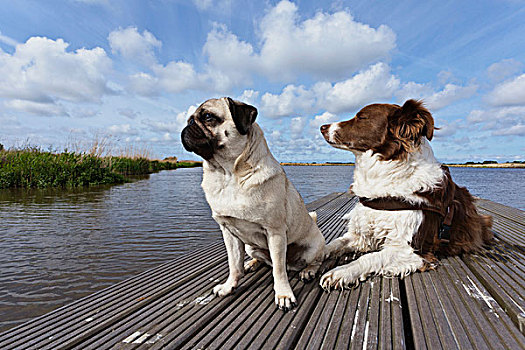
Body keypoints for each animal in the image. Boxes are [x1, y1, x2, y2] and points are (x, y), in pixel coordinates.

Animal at [182, 97, 326, 310]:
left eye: (208, 117)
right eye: (190, 119)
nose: (187, 126)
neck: (228, 174)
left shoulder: (275, 233)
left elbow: (279, 271)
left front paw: (283, 295)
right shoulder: (229, 233)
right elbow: (234, 264)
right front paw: (229, 286)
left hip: (314, 246)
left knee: (310, 261)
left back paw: (308, 271)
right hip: (250, 246)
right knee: (263, 260)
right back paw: (251, 264)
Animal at [318, 99, 494, 290]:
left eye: (362, 117)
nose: (322, 127)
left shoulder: (413, 251)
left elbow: (369, 257)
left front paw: (341, 271)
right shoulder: (362, 235)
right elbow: (335, 243)